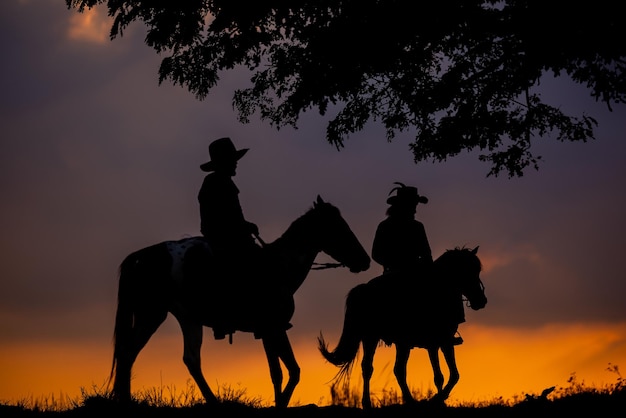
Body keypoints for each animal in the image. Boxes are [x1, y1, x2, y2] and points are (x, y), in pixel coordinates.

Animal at [109, 197, 368, 408]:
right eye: (339, 227)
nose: (364, 260)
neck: (278, 267)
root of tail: (141, 257)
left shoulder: (269, 331)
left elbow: (282, 371)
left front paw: (280, 402)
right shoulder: (273, 328)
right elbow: (287, 372)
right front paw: (281, 403)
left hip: (177, 317)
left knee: (166, 356)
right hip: (160, 314)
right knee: (138, 353)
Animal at [316, 247, 488, 406]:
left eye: (477, 270)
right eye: (465, 271)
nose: (481, 300)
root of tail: (365, 288)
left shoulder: (443, 342)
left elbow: (452, 374)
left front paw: (440, 399)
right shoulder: (435, 342)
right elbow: (441, 376)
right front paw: (437, 399)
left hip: (387, 340)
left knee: (382, 368)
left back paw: (388, 402)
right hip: (378, 338)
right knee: (381, 368)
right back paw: (390, 401)